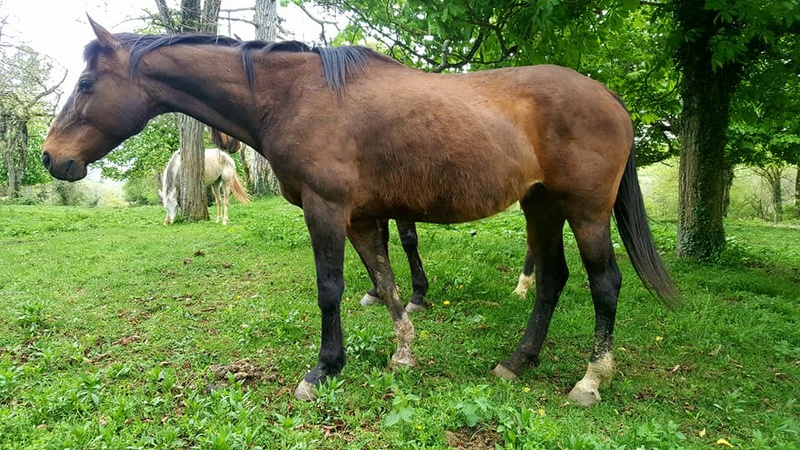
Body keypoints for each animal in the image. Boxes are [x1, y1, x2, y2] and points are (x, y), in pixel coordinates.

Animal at [43, 17, 680, 406]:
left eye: (87, 82)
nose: (52, 157)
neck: (297, 96)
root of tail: (610, 98)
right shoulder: (361, 217)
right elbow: (387, 280)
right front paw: (403, 353)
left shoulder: (326, 211)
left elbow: (331, 288)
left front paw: (324, 368)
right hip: (541, 206)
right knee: (551, 280)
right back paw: (517, 362)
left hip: (586, 211)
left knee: (604, 284)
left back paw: (590, 381)